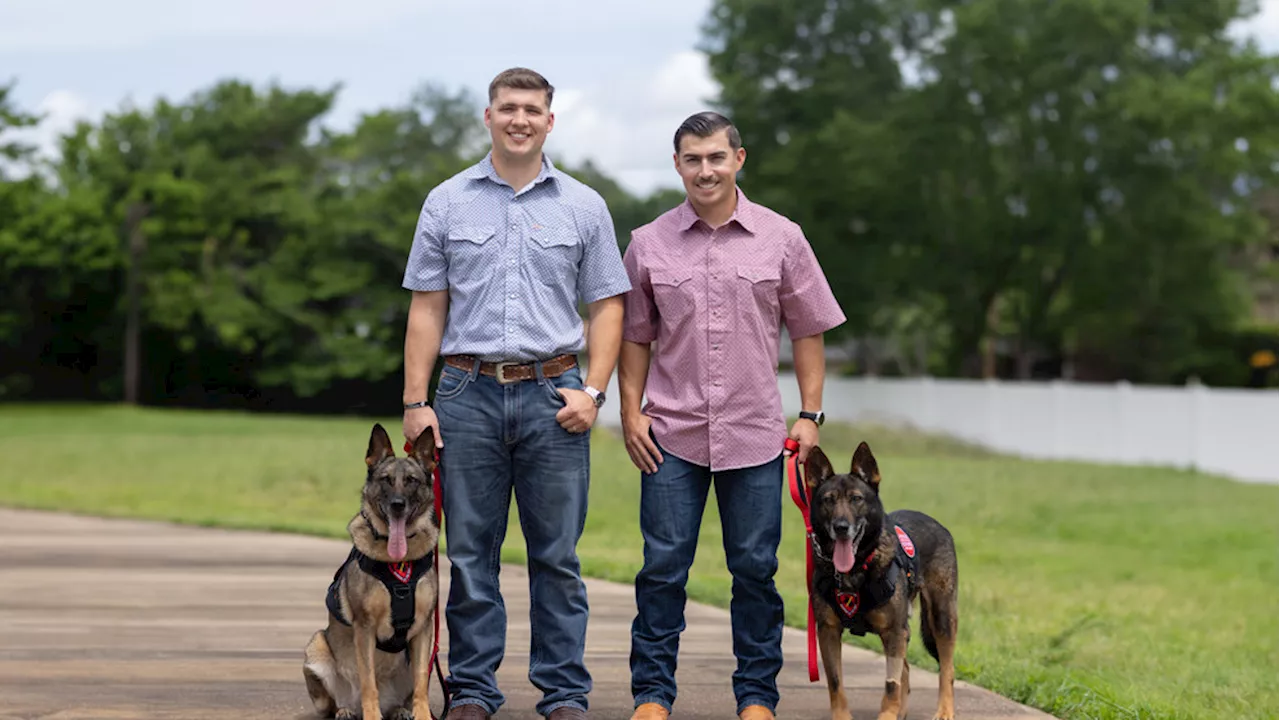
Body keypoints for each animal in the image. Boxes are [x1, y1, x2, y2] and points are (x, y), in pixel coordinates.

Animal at [302, 422, 442, 712]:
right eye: (386, 479)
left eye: (411, 480)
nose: (398, 505)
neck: (398, 561)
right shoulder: (364, 628)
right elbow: (368, 683)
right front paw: (371, 714)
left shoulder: (423, 630)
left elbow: (422, 684)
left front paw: (422, 715)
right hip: (317, 646)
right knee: (336, 703)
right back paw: (346, 711)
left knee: (403, 697)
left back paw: (399, 711)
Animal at [803, 440, 957, 717]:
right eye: (828, 501)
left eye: (856, 499)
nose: (841, 527)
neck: (856, 569)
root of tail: (938, 524)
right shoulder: (828, 630)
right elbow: (835, 681)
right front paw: (842, 717)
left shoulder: (894, 632)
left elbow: (891, 684)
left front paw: (887, 716)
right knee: (906, 669)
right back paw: (902, 712)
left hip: (941, 617)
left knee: (947, 670)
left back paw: (944, 711)